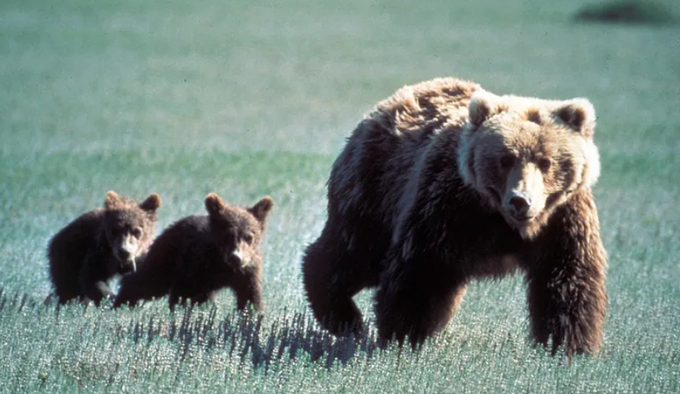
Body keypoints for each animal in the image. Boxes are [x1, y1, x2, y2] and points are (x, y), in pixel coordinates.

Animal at [115, 192, 274, 312]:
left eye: (249, 237)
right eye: (228, 235)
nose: (236, 257)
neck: (222, 264)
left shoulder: (247, 271)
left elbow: (250, 297)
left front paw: (252, 316)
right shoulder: (196, 264)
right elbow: (185, 294)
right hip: (167, 256)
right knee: (150, 280)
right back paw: (123, 302)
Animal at [302, 77, 604, 358]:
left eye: (546, 161)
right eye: (505, 159)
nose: (520, 200)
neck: (505, 223)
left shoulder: (563, 219)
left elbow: (567, 279)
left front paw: (568, 347)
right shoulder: (448, 205)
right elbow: (422, 268)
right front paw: (403, 336)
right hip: (375, 188)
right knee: (353, 252)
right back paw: (344, 317)